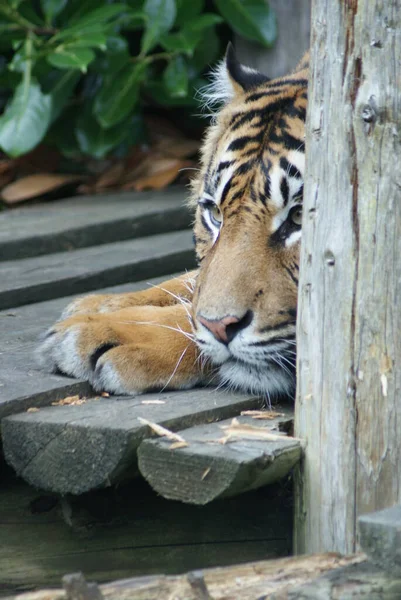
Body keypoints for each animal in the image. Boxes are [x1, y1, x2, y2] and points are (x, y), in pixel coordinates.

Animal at [36, 45, 306, 404]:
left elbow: (189, 315)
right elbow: (188, 284)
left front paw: (95, 331)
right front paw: (98, 305)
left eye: (300, 216)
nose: (220, 327)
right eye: (215, 214)